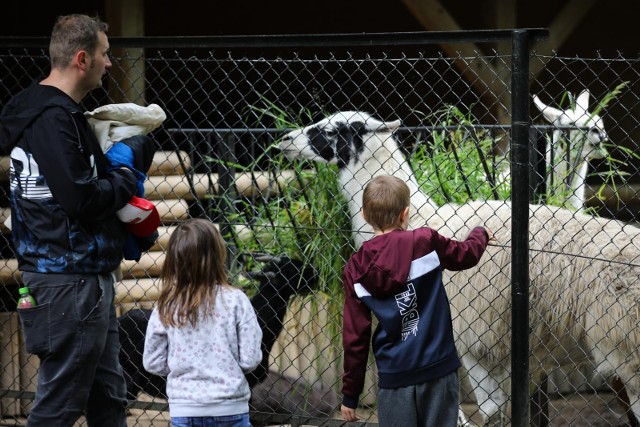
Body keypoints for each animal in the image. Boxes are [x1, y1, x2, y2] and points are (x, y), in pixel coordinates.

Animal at [280, 111, 640, 427]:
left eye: (332, 130)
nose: (284, 139)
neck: (424, 218)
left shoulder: (477, 341)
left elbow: (490, 410)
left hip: (628, 350)